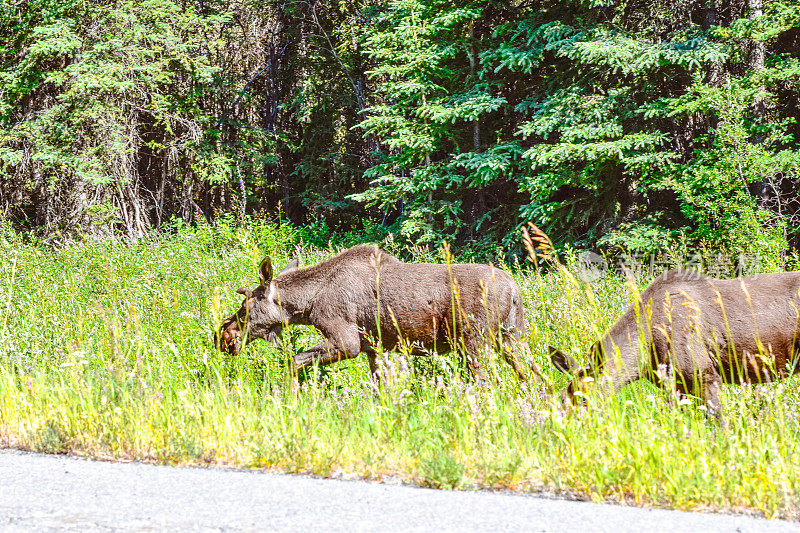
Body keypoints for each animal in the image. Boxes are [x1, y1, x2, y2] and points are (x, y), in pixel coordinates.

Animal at [216, 245, 536, 382]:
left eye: (245, 308)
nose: (224, 335)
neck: (307, 303)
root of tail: (515, 289)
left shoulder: (347, 341)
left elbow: (294, 362)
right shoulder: (375, 348)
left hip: (474, 341)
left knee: (487, 383)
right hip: (513, 339)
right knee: (533, 375)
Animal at [552, 270, 800, 420]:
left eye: (583, 397)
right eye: (562, 398)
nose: (562, 427)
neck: (644, 357)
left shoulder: (704, 373)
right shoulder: (677, 384)